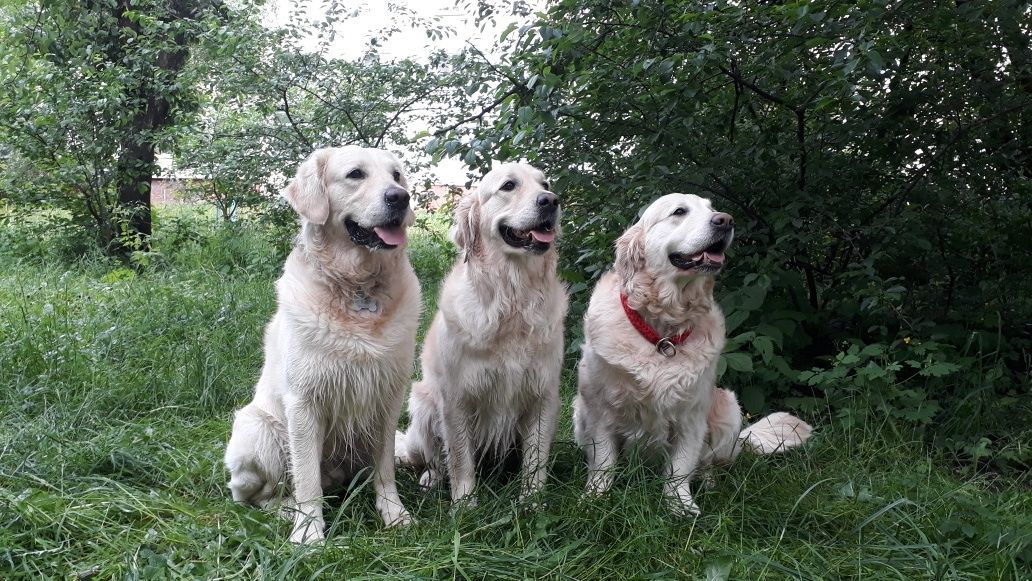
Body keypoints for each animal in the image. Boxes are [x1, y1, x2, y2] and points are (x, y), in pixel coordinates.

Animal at [224, 146, 418, 544]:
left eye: (396, 176)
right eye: (356, 174)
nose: (401, 198)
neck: (358, 290)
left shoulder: (389, 397)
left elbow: (384, 469)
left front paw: (394, 514)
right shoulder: (304, 403)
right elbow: (307, 479)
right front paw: (309, 533)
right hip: (259, 432)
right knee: (254, 497)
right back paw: (287, 511)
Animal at [398, 160, 569, 507]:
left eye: (545, 183)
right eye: (508, 186)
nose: (551, 201)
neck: (513, 296)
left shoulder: (544, 393)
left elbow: (536, 458)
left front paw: (532, 502)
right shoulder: (456, 397)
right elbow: (460, 458)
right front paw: (465, 505)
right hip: (422, 404)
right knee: (433, 459)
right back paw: (430, 478)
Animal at [577, 192, 809, 515]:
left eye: (712, 209)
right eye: (679, 211)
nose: (726, 220)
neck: (663, 333)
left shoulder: (692, 415)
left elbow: (681, 466)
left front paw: (680, 505)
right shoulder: (602, 410)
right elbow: (603, 462)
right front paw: (595, 499)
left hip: (729, 408)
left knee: (708, 462)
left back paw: (708, 483)